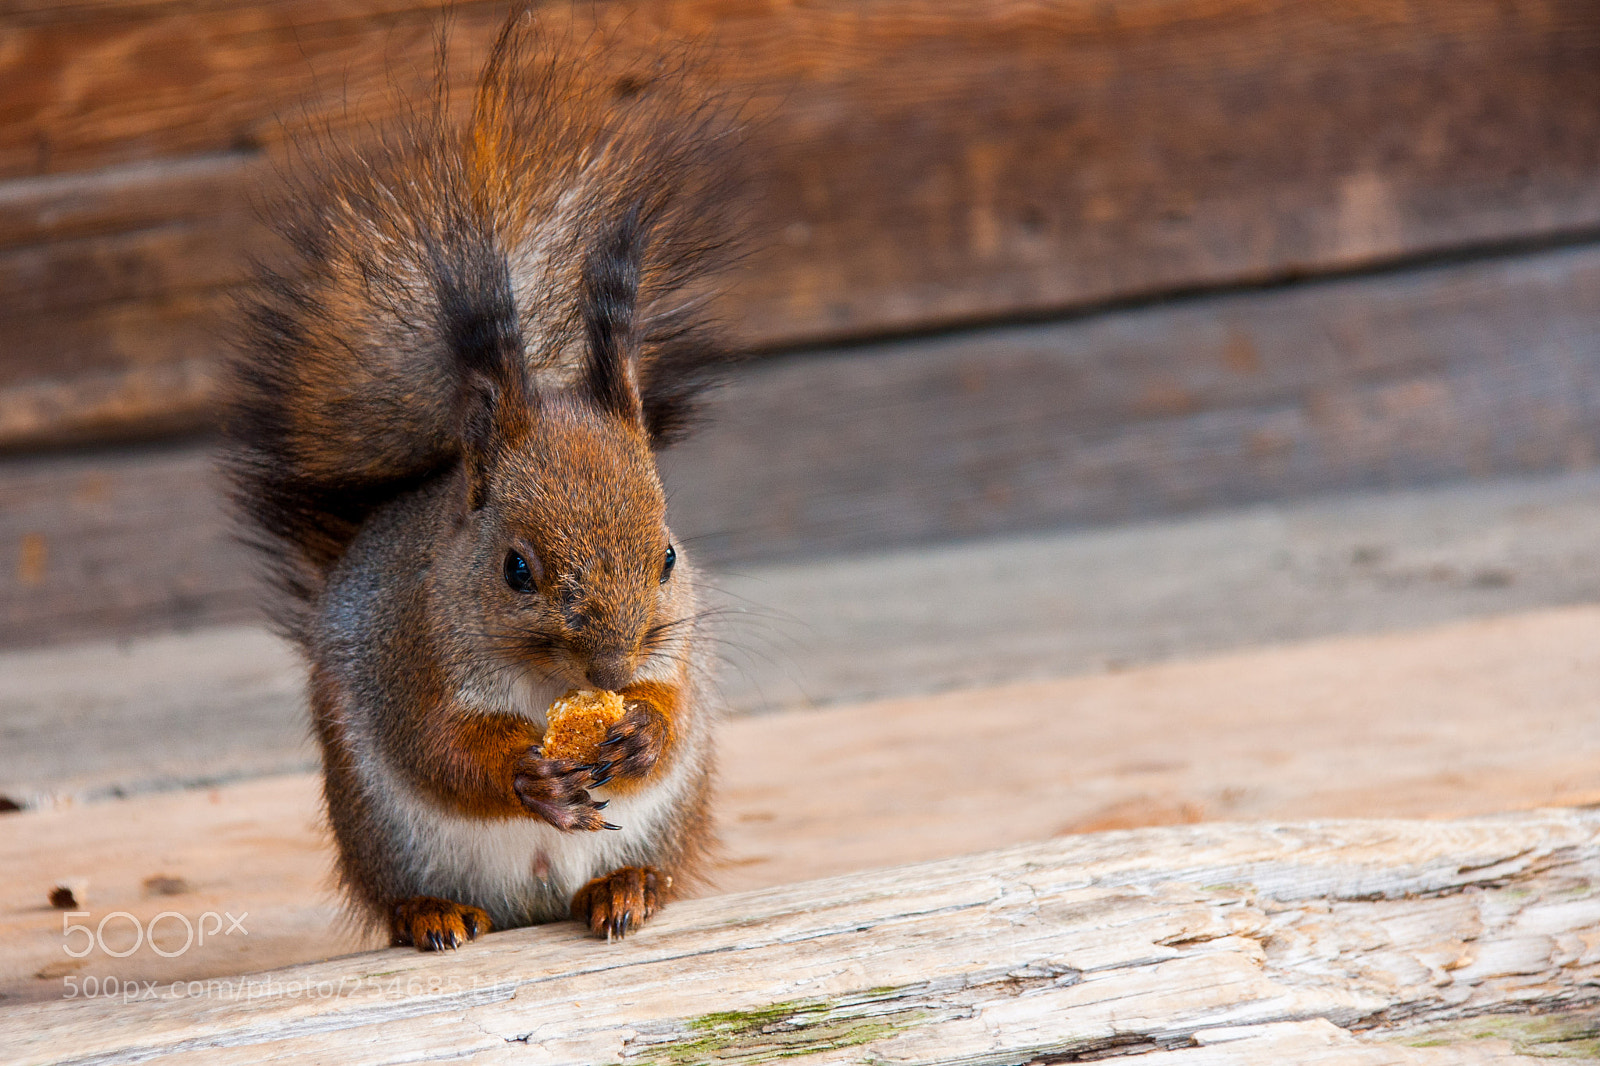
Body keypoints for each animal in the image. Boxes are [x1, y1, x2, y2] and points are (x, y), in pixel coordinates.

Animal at [220, 14, 739, 950]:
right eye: (516, 570)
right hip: (384, 831)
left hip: (670, 819)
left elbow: (674, 709)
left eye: (669, 557)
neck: (550, 688)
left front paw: (642, 730)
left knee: (650, 863)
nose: (610, 665)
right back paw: (432, 912)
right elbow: (440, 750)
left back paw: (628, 886)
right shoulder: (407, 653)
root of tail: (530, 903)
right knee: (403, 891)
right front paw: (527, 777)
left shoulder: (678, 649)